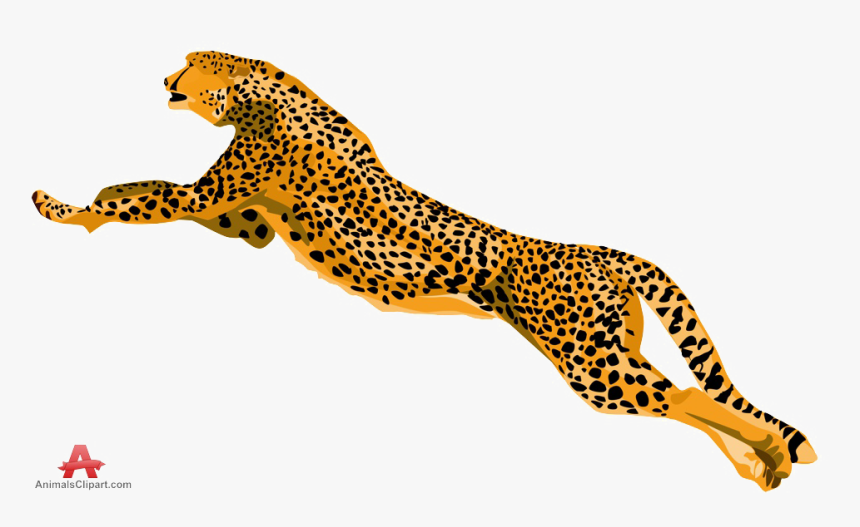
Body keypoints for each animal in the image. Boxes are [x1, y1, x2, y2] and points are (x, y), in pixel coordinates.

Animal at [32, 51, 816, 491]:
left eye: (192, 64)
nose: (165, 77)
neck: (260, 92)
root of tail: (600, 250)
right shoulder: (245, 222)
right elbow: (139, 186)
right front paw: (98, 193)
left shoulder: (214, 199)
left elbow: (144, 200)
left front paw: (61, 206)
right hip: (610, 353)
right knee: (686, 397)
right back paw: (763, 462)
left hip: (590, 364)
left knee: (688, 395)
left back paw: (771, 451)